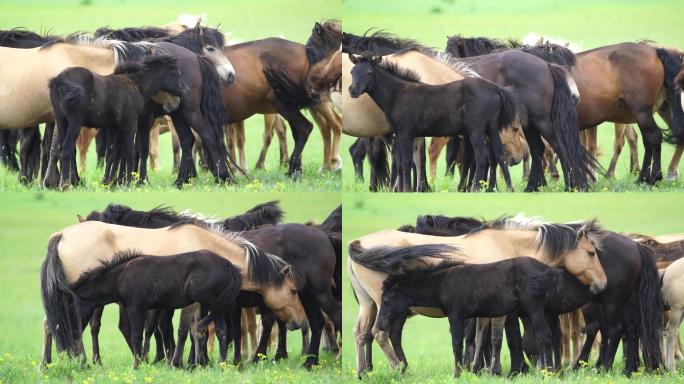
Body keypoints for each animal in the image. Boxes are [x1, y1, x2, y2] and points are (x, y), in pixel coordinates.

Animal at [47, 54, 187, 188]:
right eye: (176, 73)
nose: (186, 91)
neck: (133, 84)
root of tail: (59, 80)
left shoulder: (113, 126)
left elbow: (112, 153)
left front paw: (107, 182)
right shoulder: (131, 123)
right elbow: (129, 152)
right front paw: (128, 182)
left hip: (61, 120)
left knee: (61, 149)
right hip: (75, 122)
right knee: (67, 149)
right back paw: (65, 184)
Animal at [67, 250, 243, 368]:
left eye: (72, 307)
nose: (73, 330)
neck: (120, 277)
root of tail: (228, 265)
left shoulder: (136, 308)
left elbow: (137, 335)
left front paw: (137, 365)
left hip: (207, 299)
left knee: (211, 320)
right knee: (221, 330)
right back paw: (221, 363)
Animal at [348, 54, 520, 192]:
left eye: (369, 73)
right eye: (352, 71)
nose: (352, 91)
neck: (398, 94)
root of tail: (497, 89)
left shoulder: (405, 133)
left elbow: (405, 162)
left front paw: (406, 190)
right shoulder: (406, 135)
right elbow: (407, 162)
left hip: (476, 130)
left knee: (482, 157)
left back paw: (475, 188)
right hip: (492, 129)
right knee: (500, 155)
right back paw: (509, 188)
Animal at [350, 216, 608, 376]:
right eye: (591, 253)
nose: (603, 284)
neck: (506, 245)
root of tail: (359, 243)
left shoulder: (484, 308)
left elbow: (480, 337)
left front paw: (476, 369)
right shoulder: (500, 310)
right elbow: (497, 339)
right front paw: (495, 371)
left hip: (369, 304)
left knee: (362, 334)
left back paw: (365, 372)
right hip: (383, 304)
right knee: (380, 334)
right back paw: (399, 369)